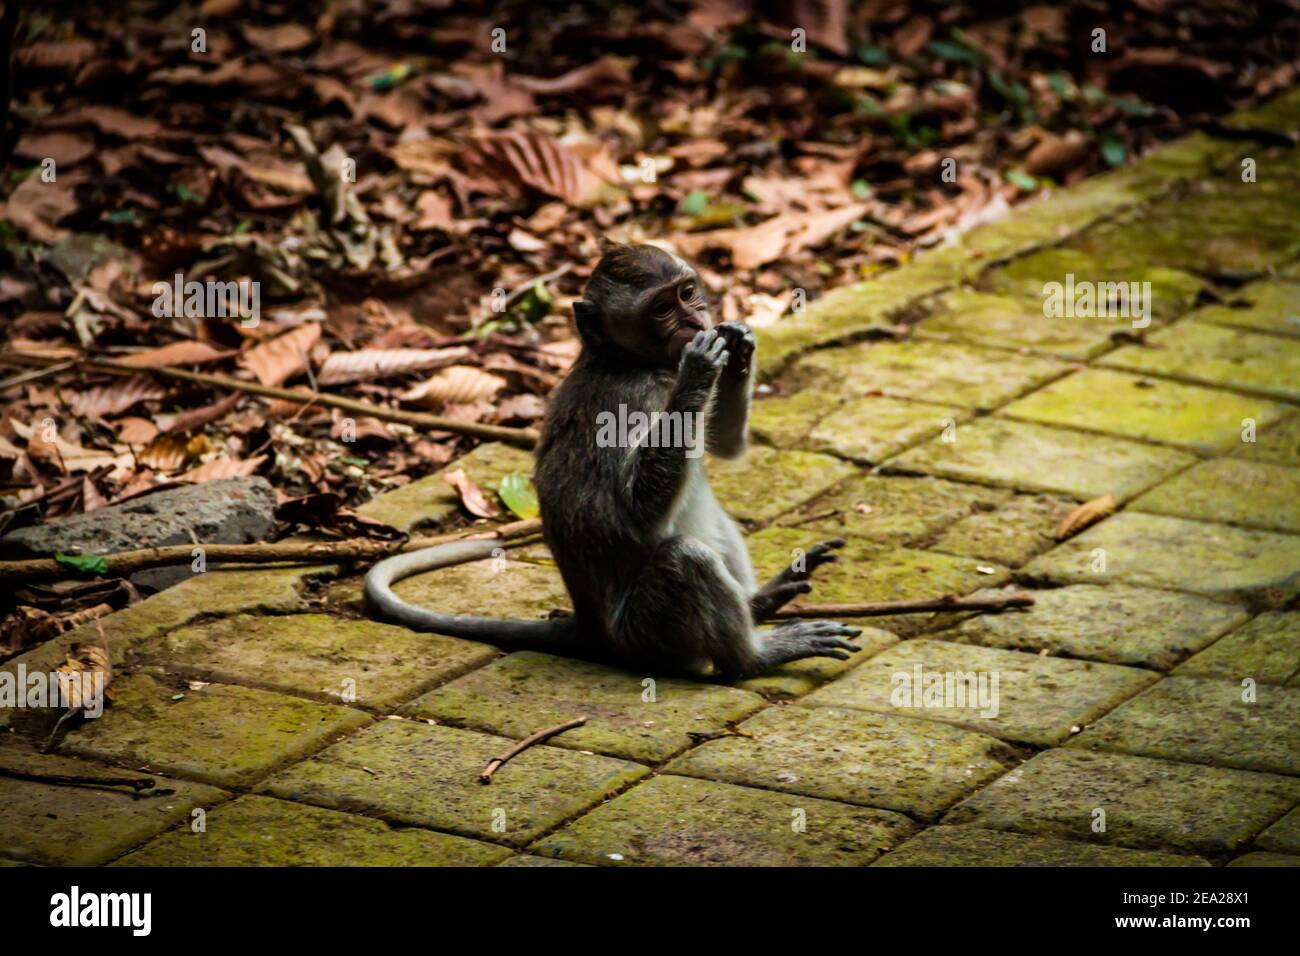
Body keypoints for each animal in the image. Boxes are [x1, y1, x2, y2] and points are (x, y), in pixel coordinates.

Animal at [365, 242, 861, 679]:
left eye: (687, 292)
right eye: (661, 310)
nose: (694, 319)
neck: (632, 362)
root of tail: (591, 630)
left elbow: (722, 444)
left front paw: (739, 342)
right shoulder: (630, 403)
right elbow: (631, 514)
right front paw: (699, 369)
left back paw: (759, 602)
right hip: (648, 634)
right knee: (685, 558)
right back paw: (753, 658)